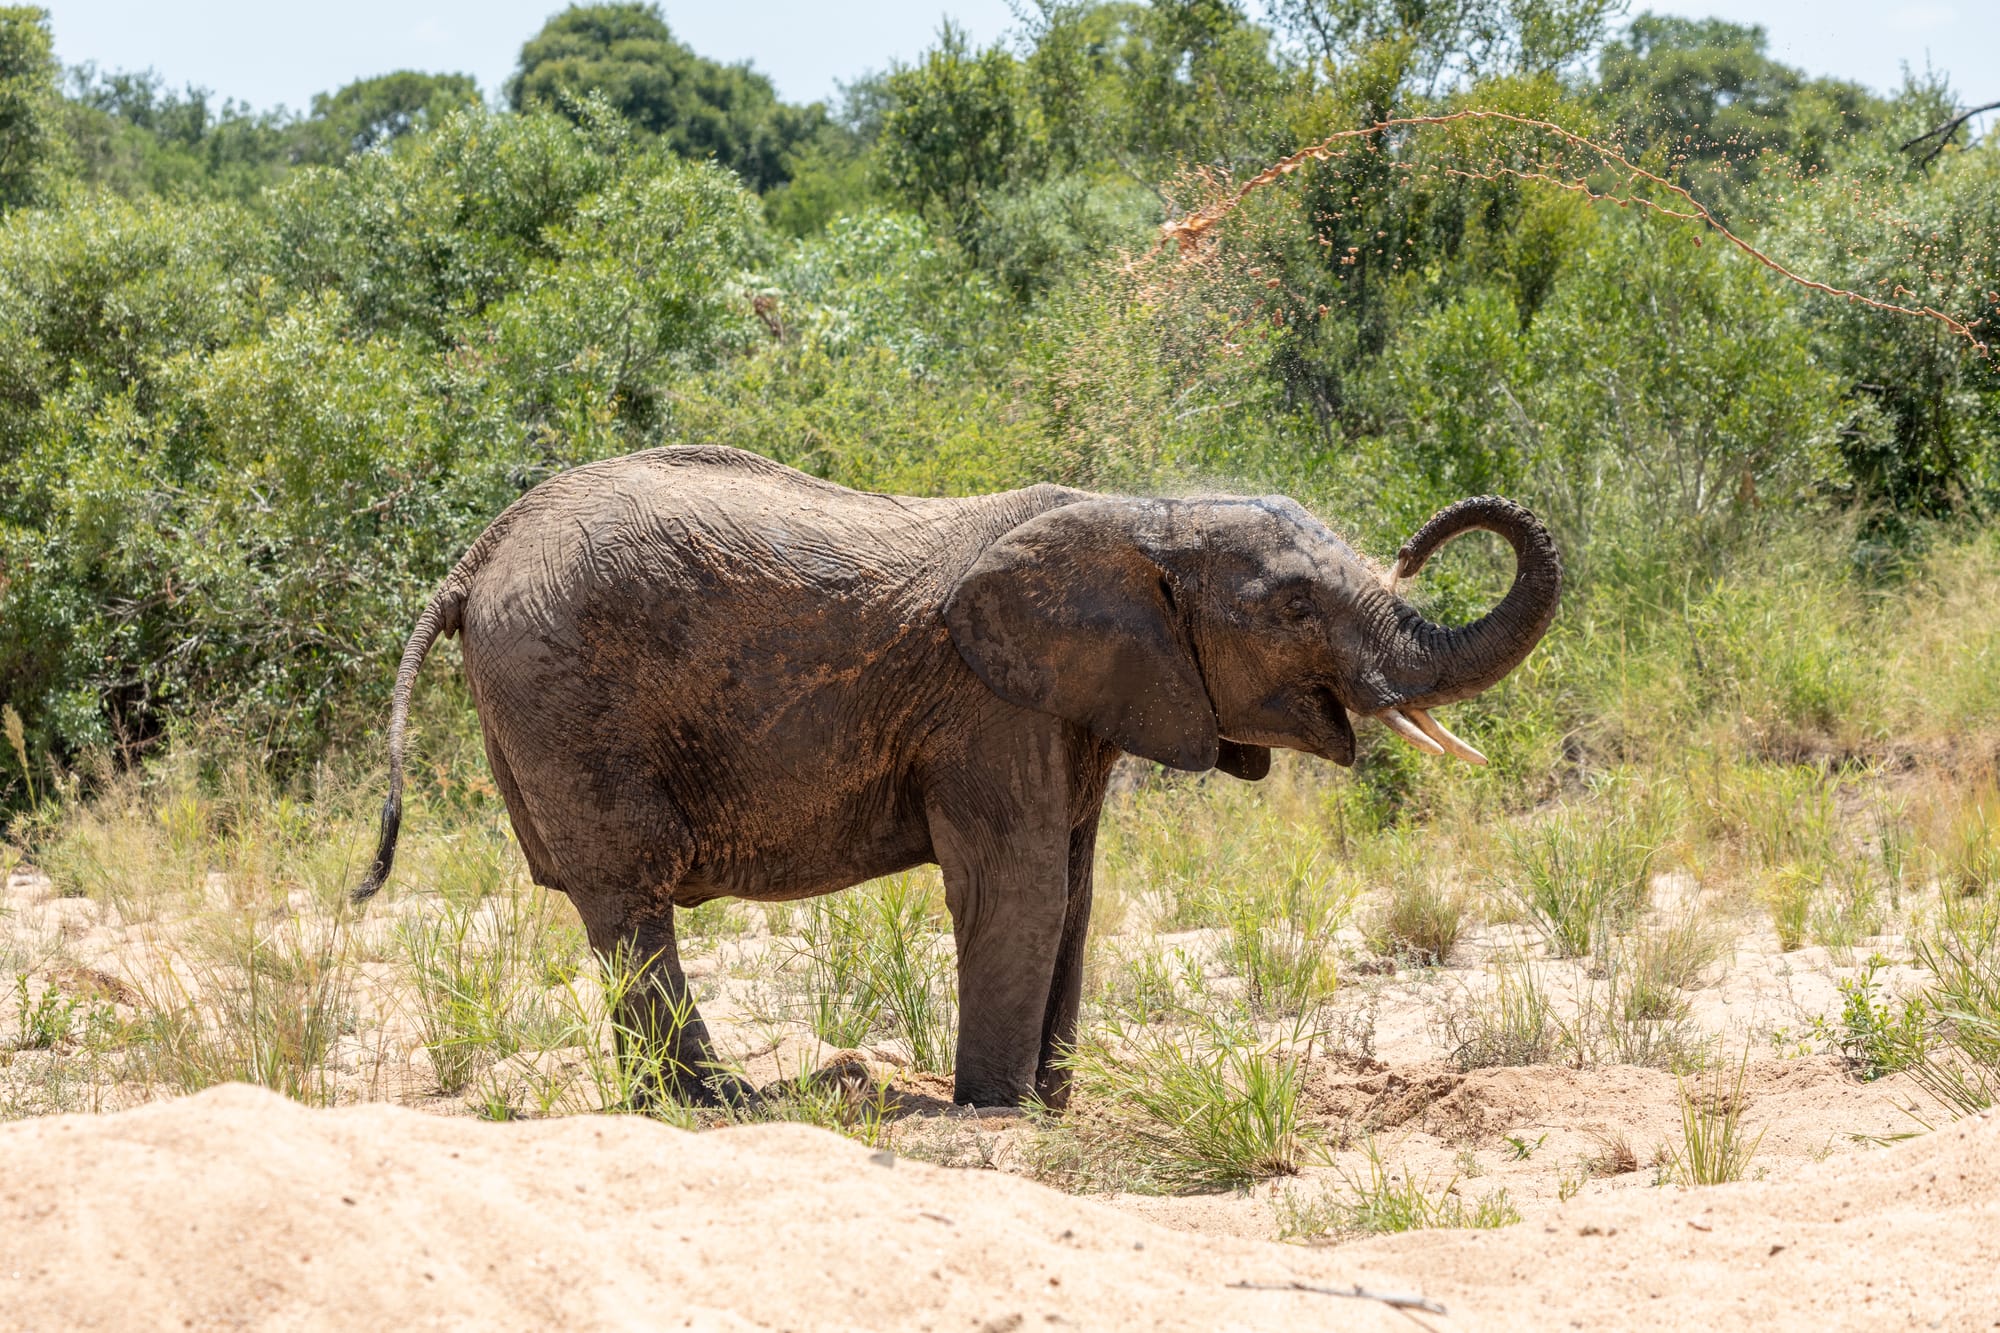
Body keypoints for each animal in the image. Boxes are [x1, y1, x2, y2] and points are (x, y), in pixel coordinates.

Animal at [354, 445, 1560, 1108]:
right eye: (1295, 606)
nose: (1425, 535)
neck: (1140, 515)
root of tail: (475, 556)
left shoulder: (1078, 706)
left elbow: (1075, 892)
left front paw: (1054, 1100)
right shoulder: (988, 707)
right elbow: (1015, 887)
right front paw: (998, 1111)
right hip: (567, 692)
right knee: (629, 898)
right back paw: (716, 1102)